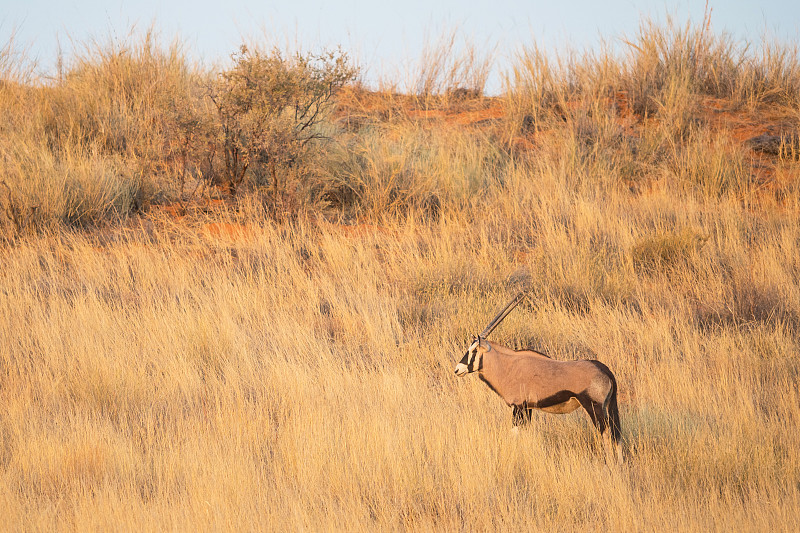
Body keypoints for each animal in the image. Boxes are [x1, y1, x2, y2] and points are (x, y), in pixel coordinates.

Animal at [454, 294, 620, 460]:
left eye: (474, 350)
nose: (457, 370)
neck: (507, 365)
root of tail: (604, 369)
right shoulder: (527, 408)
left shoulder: (518, 407)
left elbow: (514, 434)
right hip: (608, 407)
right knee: (616, 434)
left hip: (594, 407)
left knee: (606, 434)